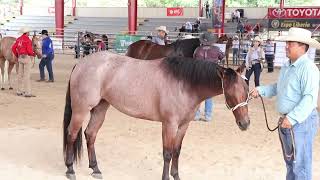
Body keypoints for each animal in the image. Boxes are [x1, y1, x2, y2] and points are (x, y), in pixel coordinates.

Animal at [62, 51, 251, 179]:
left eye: (246, 90)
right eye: (231, 93)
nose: (245, 123)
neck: (184, 83)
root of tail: (81, 63)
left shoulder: (183, 125)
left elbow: (177, 151)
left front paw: (176, 175)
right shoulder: (169, 124)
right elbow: (167, 153)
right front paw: (166, 177)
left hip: (100, 109)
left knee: (90, 134)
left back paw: (95, 169)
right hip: (80, 110)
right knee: (71, 134)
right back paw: (70, 169)